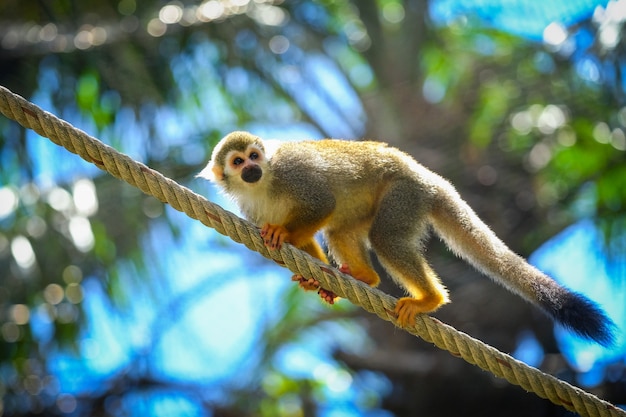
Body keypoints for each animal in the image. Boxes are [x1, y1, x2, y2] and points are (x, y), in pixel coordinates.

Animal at [200, 130, 616, 344]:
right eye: (238, 162)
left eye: (255, 156)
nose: (251, 167)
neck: (261, 186)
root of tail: (426, 175)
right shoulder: (248, 207)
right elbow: (309, 232)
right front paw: (313, 275)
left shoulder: (291, 171)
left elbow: (321, 203)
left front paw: (282, 232)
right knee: (341, 229)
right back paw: (364, 277)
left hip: (404, 193)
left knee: (384, 236)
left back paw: (429, 298)